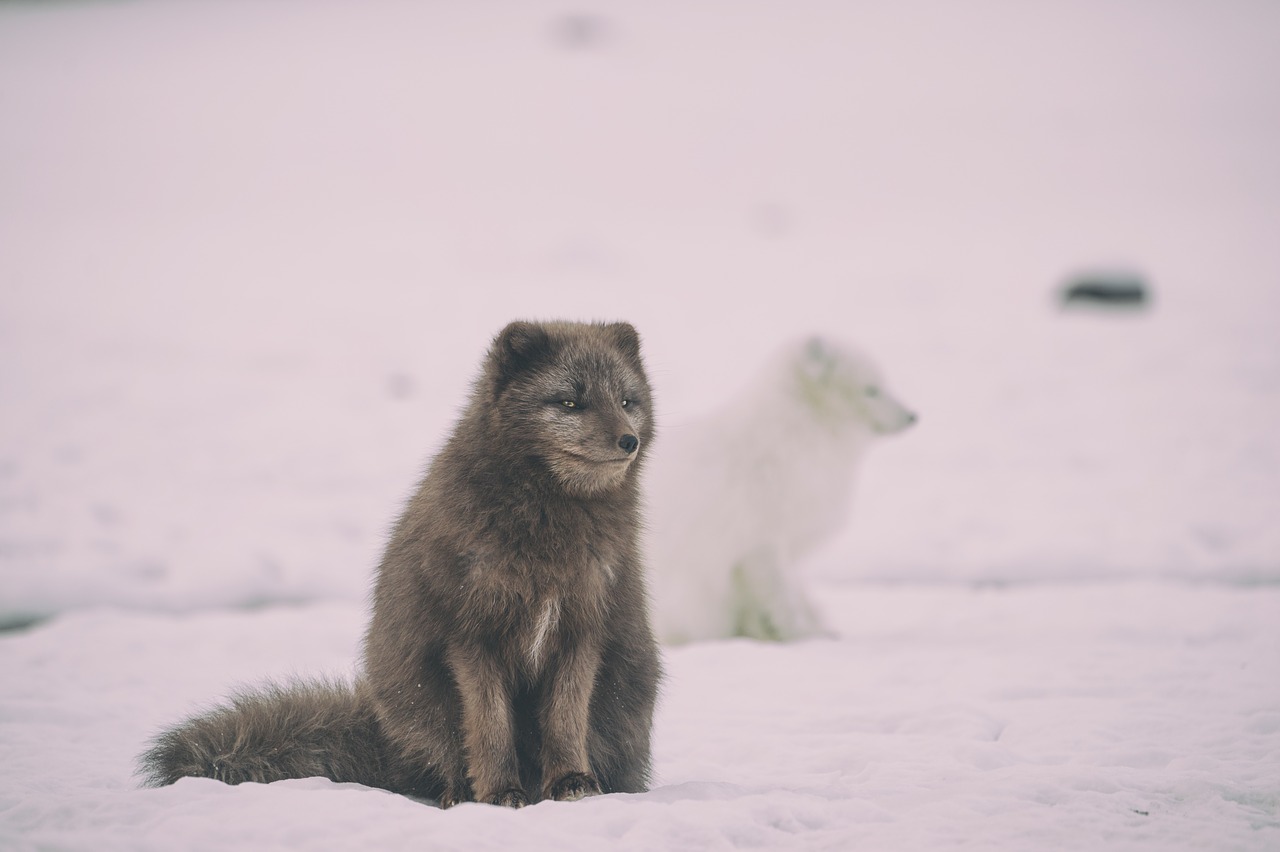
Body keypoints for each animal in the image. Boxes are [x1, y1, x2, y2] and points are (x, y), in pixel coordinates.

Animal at [138, 318, 660, 803]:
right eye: (570, 402)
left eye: (626, 401)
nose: (628, 441)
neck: (548, 531)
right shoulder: (470, 636)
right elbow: (489, 726)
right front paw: (497, 793)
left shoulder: (581, 629)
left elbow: (565, 719)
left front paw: (572, 781)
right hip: (416, 694)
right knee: (445, 758)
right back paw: (460, 793)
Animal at [645, 335, 916, 639]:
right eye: (872, 390)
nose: (913, 416)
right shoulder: (760, 542)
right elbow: (781, 598)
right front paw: (801, 635)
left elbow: (788, 596)